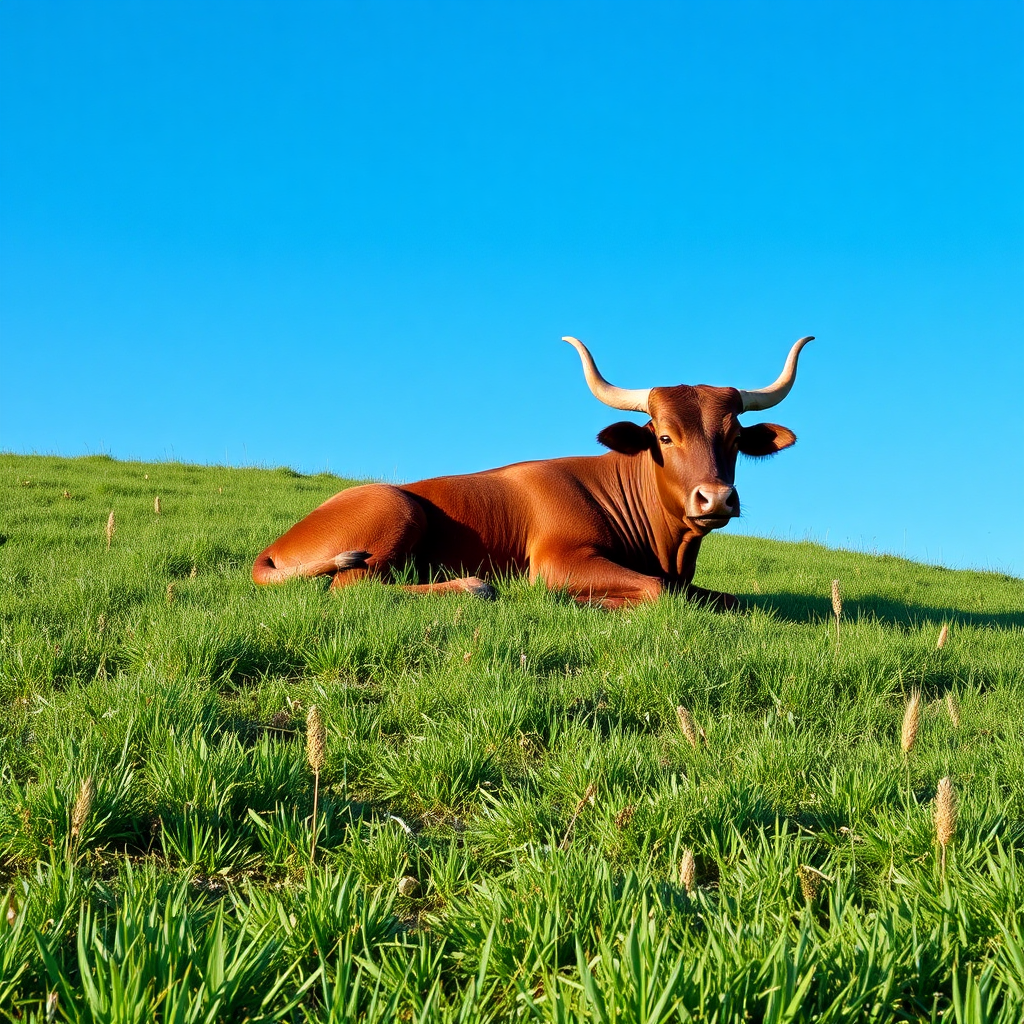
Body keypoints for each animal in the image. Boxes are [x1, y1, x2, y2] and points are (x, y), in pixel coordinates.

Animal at [252, 335, 813, 609]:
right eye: (665, 437)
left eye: (735, 439)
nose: (715, 498)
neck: (668, 552)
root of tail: (277, 544)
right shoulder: (557, 560)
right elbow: (654, 592)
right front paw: (589, 603)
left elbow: (726, 598)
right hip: (394, 509)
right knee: (354, 586)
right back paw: (472, 587)